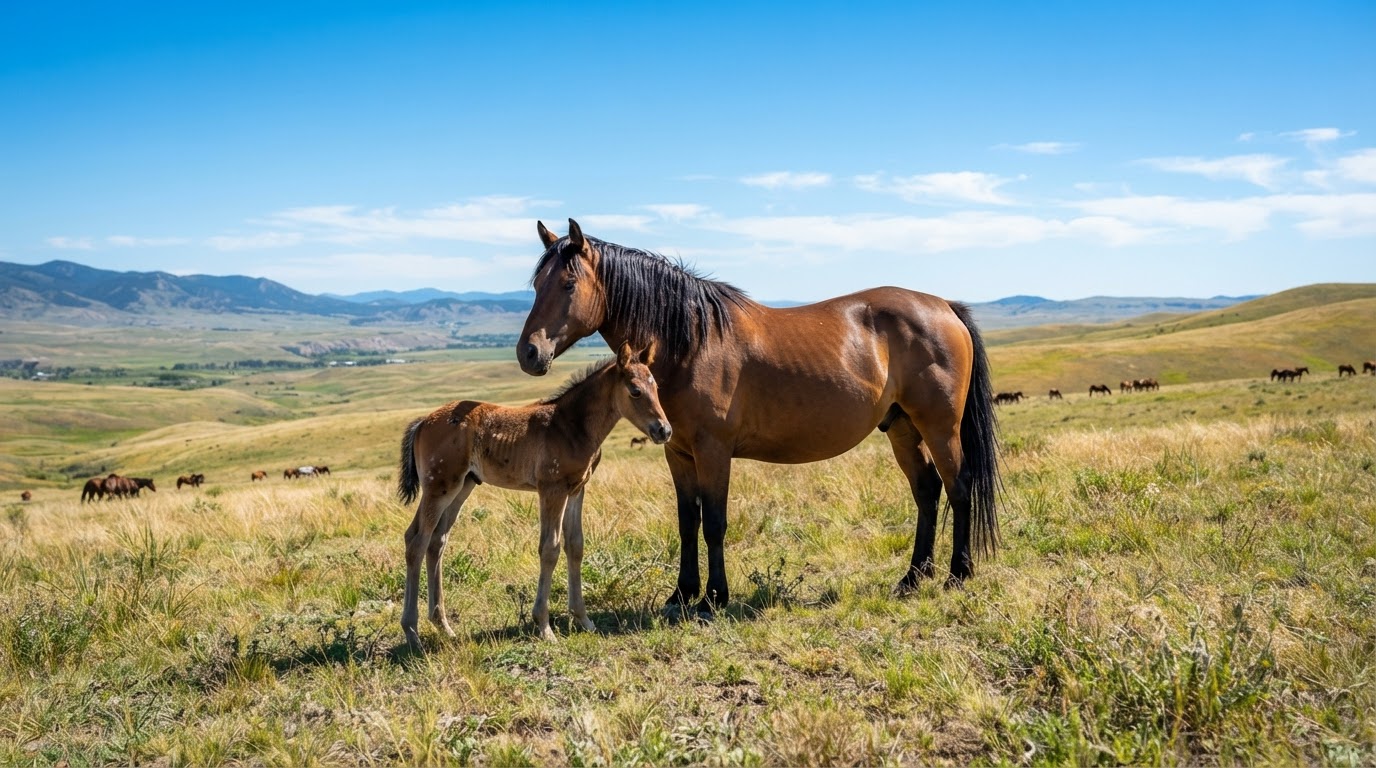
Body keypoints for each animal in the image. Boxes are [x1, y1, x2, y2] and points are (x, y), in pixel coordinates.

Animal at [397, 341, 670, 649]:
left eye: (656, 386)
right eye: (635, 390)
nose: (664, 430)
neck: (570, 426)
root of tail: (423, 422)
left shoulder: (577, 489)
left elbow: (575, 545)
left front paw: (584, 620)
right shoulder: (551, 488)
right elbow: (550, 548)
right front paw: (544, 626)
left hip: (462, 486)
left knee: (436, 541)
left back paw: (443, 626)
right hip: (439, 487)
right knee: (416, 541)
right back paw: (412, 632)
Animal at [518, 219, 1000, 618]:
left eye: (567, 283)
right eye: (536, 283)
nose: (529, 353)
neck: (690, 343)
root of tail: (944, 306)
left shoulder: (713, 451)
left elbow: (714, 523)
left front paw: (713, 599)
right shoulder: (677, 452)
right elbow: (687, 523)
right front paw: (681, 594)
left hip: (939, 426)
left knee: (958, 487)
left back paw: (957, 574)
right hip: (902, 427)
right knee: (927, 491)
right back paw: (913, 577)